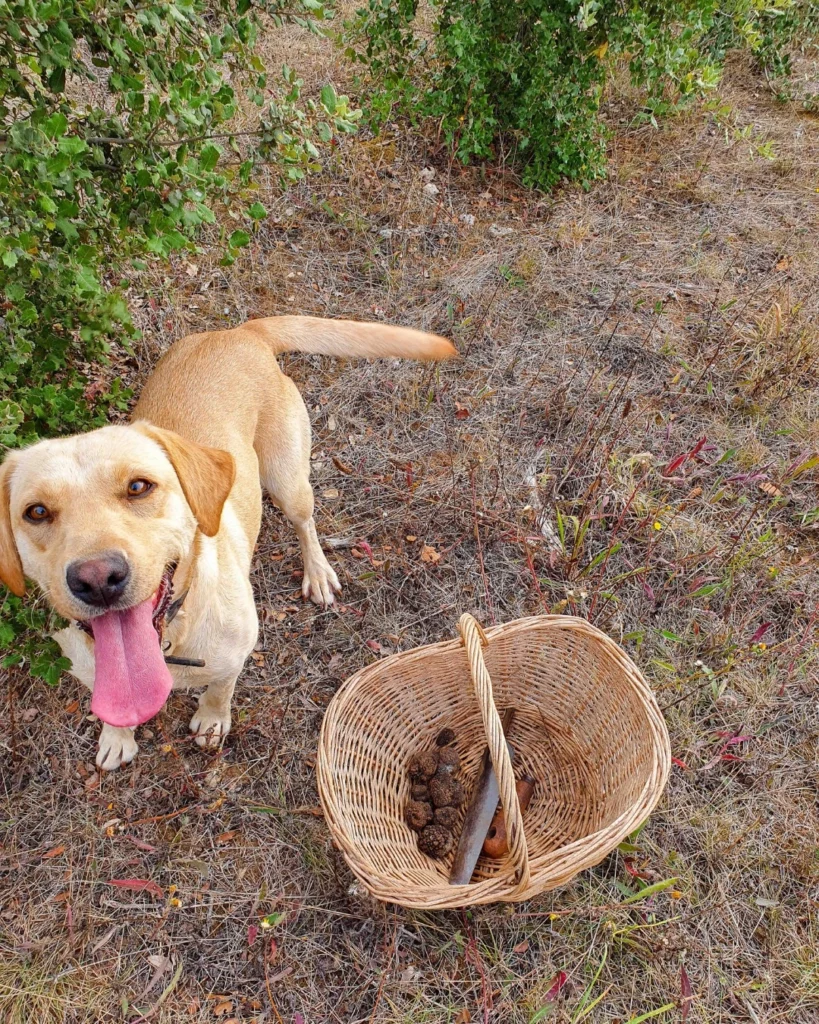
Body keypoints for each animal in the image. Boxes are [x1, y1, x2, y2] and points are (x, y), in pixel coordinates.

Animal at [0, 315, 454, 765]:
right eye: (36, 512)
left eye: (138, 487)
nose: (97, 579)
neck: (172, 635)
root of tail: (242, 332)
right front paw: (118, 736)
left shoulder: (235, 653)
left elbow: (221, 687)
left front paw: (212, 720)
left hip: (287, 480)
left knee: (305, 524)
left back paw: (318, 572)